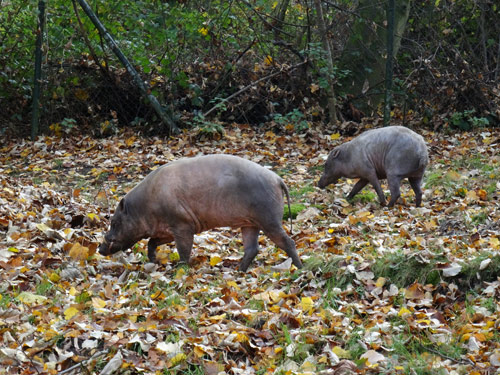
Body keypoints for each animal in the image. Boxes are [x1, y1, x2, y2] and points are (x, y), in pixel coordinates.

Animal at [97, 154, 300, 272]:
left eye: (114, 222)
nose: (99, 248)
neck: (145, 207)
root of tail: (278, 179)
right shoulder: (167, 229)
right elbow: (152, 242)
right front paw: (154, 262)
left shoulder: (182, 225)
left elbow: (183, 250)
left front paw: (180, 269)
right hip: (249, 223)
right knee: (252, 248)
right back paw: (238, 271)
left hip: (269, 219)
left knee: (288, 242)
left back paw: (299, 267)